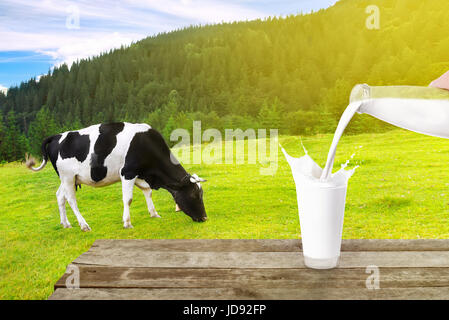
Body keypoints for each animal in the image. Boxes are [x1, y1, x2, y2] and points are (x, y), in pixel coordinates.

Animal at [28, 122, 208, 230]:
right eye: (194, 194)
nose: (205, 217)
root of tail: (57, 136)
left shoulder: (139, 174)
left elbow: (147, 192)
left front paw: (154, 213)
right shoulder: (127, 172)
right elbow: (128, 199)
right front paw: (127, 222)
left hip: (69, 178)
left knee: (60, 196)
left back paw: (65, 223)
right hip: (67, 176)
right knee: (71, 200)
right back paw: (84, 225)